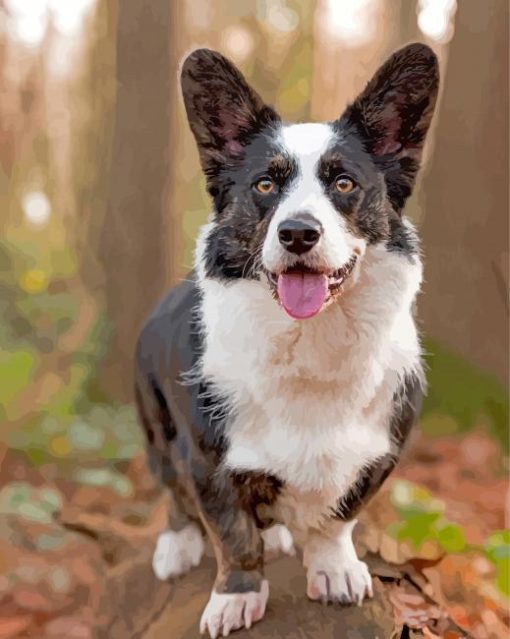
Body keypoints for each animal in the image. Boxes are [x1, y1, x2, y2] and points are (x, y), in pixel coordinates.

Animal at [134, 45, 438, 639]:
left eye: (343, 183)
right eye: (264, 185)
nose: (298, 232)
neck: (311, 338)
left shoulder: (378, 454)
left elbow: (337, 520)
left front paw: (334, 570)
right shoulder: (207, 461)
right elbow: (233, 535)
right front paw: (235, 598)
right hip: (155, 426)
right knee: (173, 493)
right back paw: (177, 547)